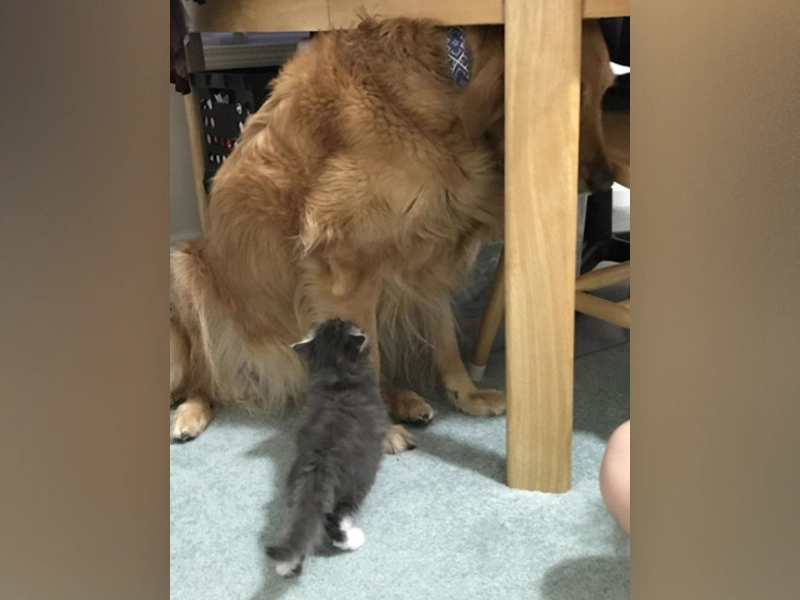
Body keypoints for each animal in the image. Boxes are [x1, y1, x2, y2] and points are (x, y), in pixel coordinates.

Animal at [170, 18, 615, 452]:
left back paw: (405, 401)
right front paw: (376, 433)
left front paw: (466, 395)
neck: (449, 85)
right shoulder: (343, 264)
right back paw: (189, 415)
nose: (606, 181)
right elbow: (371, 359)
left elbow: (445, 339)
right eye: (576, 96)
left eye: (607, 91)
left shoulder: (429, 255)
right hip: (185, 271)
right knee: (203, 378)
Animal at [267, 318, 389, 577]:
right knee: (332, 521)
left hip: (295, 490)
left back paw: (286, 565)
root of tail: (319, 464)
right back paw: (352, 539)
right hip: (353, 487)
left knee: (304, 525)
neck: (339, 380)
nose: (357, 324)